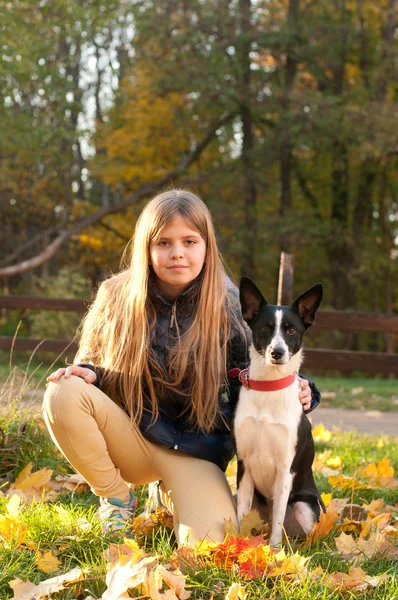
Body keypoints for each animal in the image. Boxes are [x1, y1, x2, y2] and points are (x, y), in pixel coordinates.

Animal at [235, 278, 324, 548]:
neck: (269, 387)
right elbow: (241, 515)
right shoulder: (244, 465)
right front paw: (236, 541)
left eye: (291, 330)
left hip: (305, 508)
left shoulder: (286, 469)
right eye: (265, 328)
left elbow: (278, 517)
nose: (277, 352)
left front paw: (274, 551)